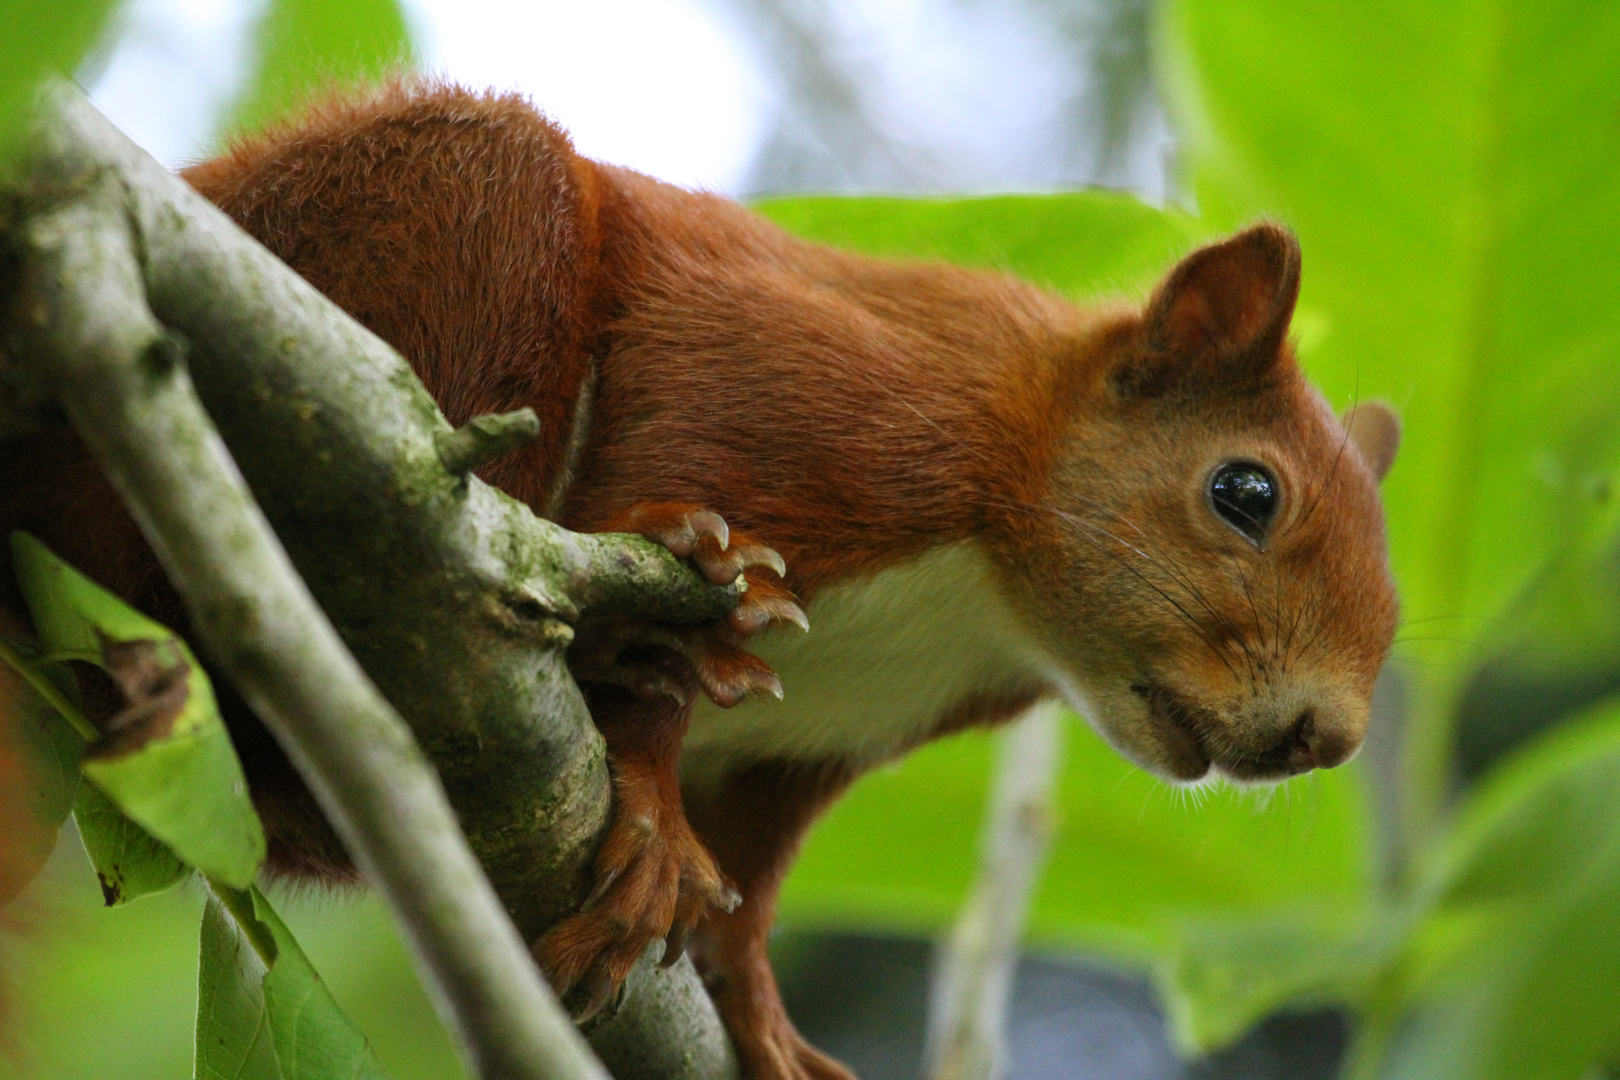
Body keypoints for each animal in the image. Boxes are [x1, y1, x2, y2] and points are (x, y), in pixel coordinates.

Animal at [0, 84, 1399, 1080]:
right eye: (1246, 493)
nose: (1323, 738)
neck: (987, 599)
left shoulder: (826, 737)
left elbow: (758, 866)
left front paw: (758, 1009)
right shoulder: (807, 390)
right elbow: (675, 451)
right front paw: (656, 802)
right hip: (444, 220)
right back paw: (612, 638)